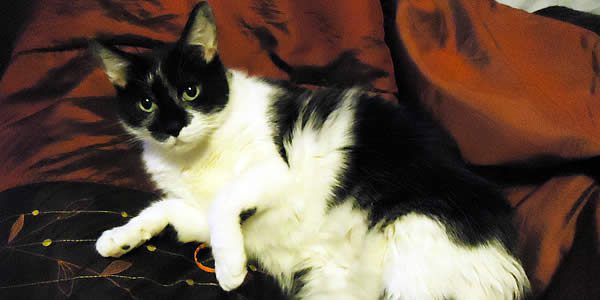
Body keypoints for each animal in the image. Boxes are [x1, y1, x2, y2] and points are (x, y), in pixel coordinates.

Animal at [90, 2, 528, 300]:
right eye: (146, 104)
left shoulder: (273, 174)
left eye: (190, 91)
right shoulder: (197, 213)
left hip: (416, 244)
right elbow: (166, 207)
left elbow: (224, 201)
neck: (195, 158)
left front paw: (230, 269)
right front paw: (119, 237)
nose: (173, 128)